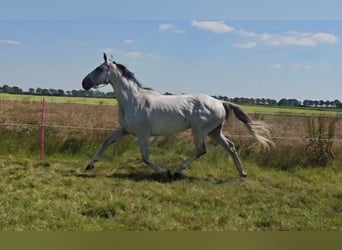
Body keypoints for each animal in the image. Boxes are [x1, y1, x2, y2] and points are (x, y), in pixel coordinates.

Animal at [81, 53, 274, 179]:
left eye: (99, 68)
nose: (84, 83)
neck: (134, 100)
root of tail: (220, 103)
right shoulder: (124, 130)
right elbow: (106, 142)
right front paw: (90, 165)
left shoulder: (143, 134)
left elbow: (145, 157)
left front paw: (164, 172)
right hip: (214, 132)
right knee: (231, 147)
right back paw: (242, 173)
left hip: (199, 131)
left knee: (201, 150)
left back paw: (178, 170)